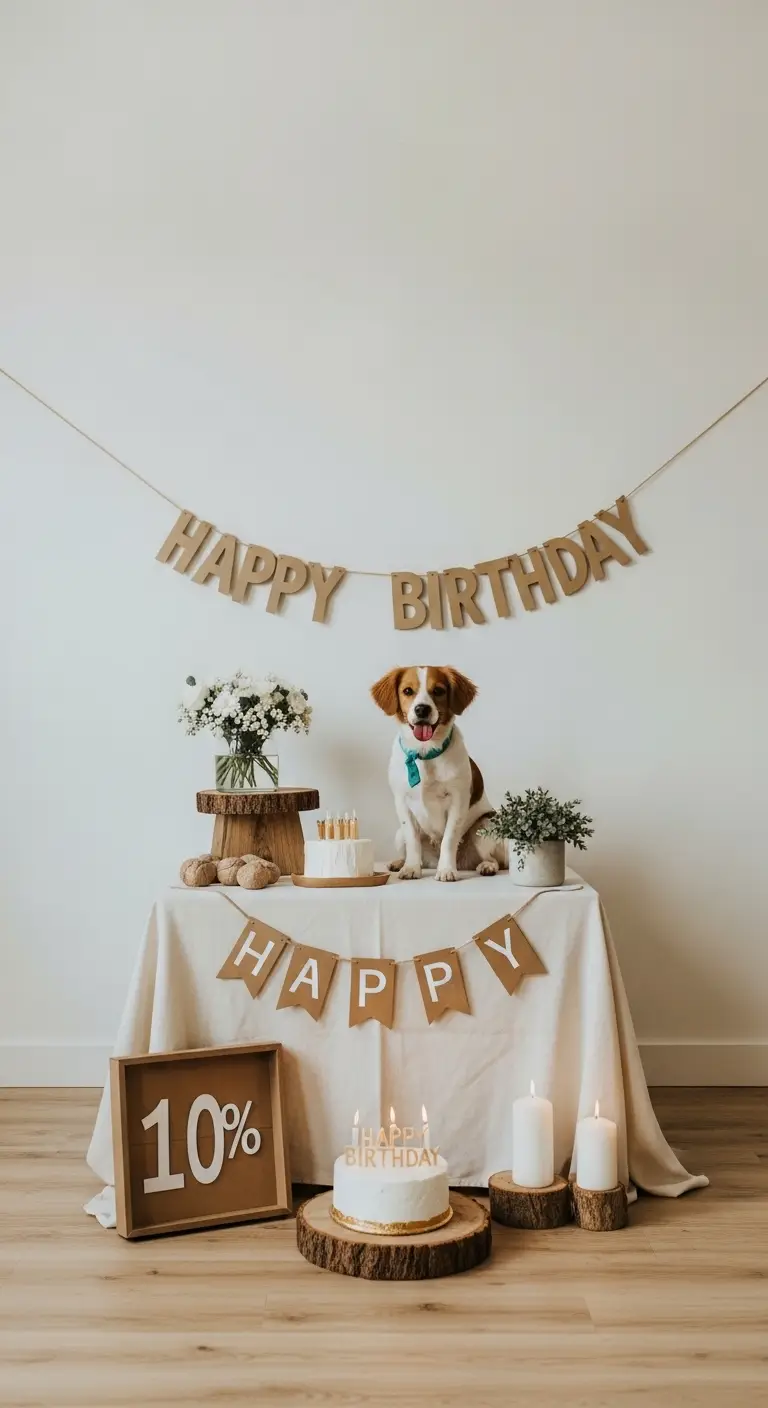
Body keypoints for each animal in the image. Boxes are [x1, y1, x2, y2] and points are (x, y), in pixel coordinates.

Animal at [370, 666, 507, 882]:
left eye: (439, 691)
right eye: (407, 691)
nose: (422, 709)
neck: (424, 753)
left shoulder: (458, 801)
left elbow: (449, 840)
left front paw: (446, 869)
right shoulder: (401, 802)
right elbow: (412, 840)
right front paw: (410, 868)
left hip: (486, 825)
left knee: (494, 860)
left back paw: (486, 866)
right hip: (398, 835)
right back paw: (400, 862)